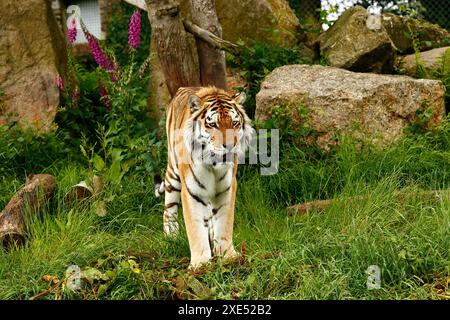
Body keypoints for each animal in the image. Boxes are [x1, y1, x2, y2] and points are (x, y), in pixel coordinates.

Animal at [154, 86, 253, 268]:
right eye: (213, 124)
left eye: (234, 123)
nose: (230, 146)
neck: (213, 164)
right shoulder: (191, 191)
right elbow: (195, 228)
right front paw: (200, 264)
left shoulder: (227, 189)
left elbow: (224, 223)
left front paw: (228, 256)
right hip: (173, 173)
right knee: (169, 207)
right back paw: (171, 236)